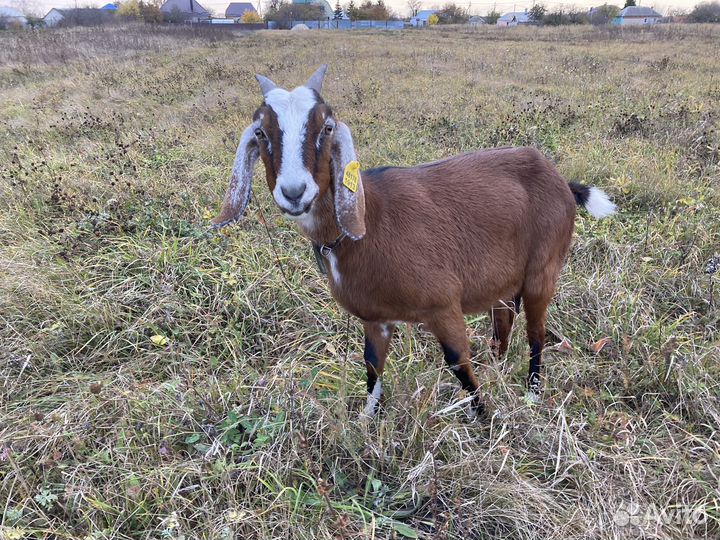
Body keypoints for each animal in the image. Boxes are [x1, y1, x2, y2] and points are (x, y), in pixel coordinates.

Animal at [212, 65, 616, 417]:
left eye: (326, 126)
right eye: (261, 133)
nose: (294, 192)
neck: (372, 221)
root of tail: (561, 180)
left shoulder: (443, 305)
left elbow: (458, 363)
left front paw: (485, 418)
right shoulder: (376, 318)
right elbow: (372, 366)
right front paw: (366, 421)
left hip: (543, 269)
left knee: (536, 332)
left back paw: (531, 393)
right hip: (503, 282)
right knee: (504, 322)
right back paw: (497, 368)